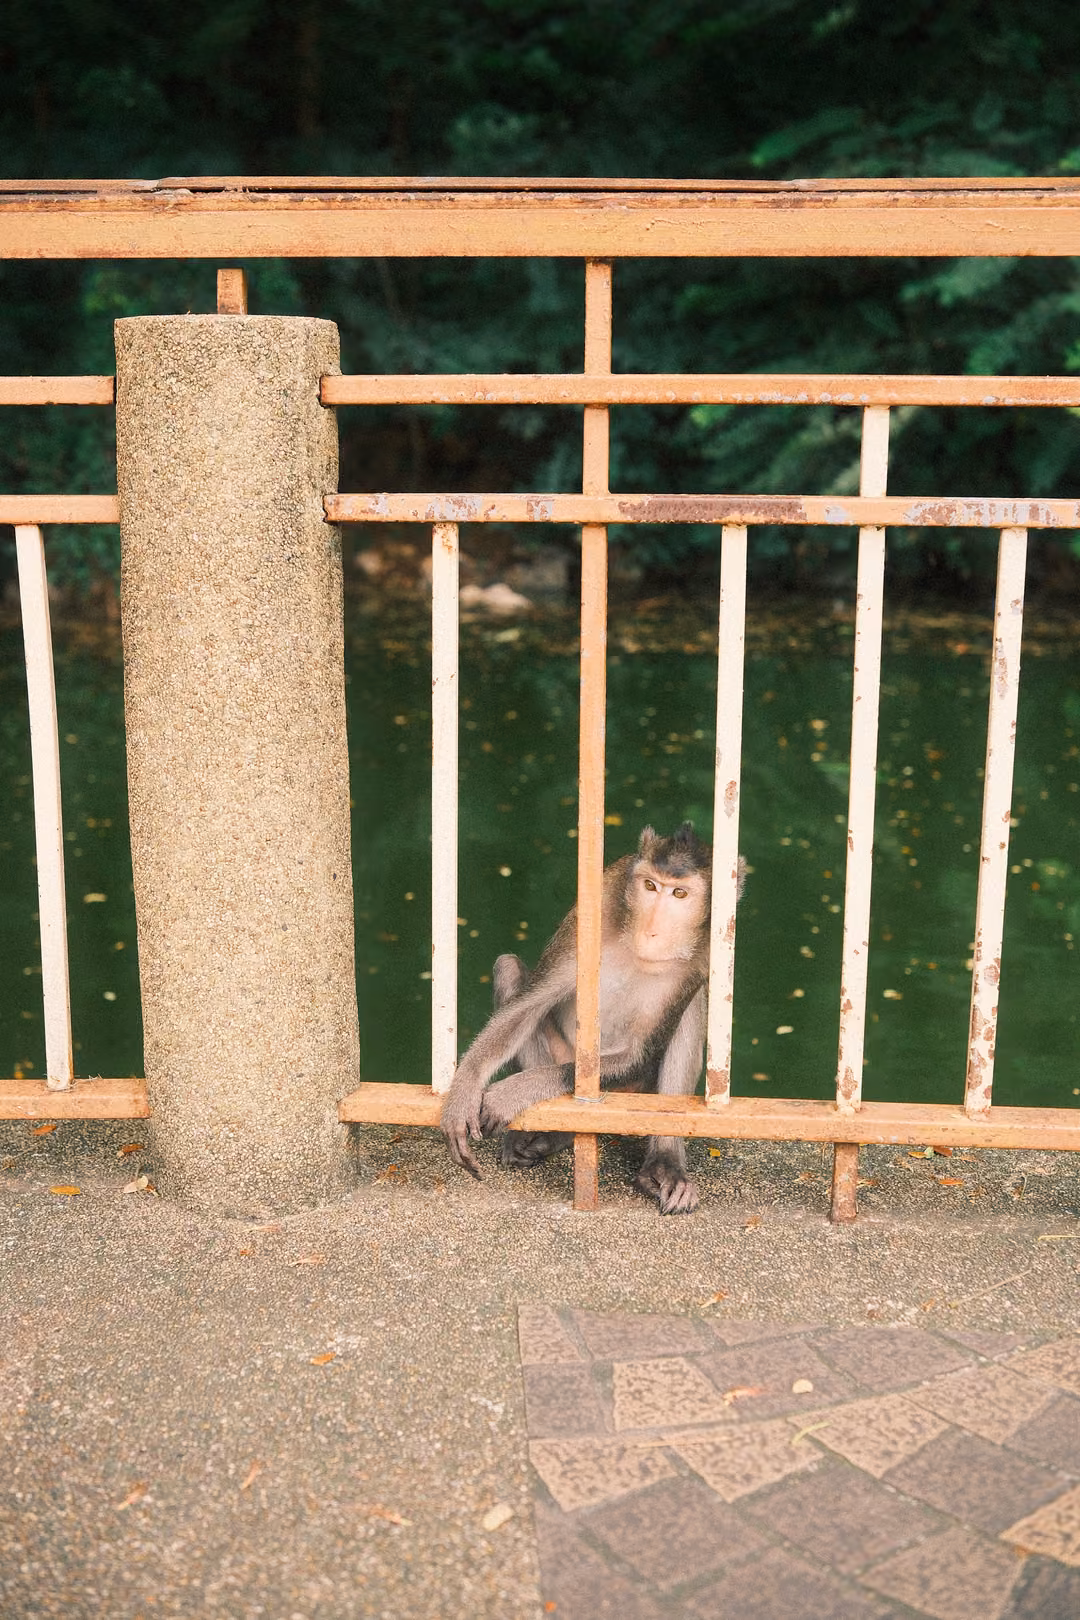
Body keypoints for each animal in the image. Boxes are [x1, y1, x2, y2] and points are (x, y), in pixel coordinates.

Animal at [440, 823, 746, 1214]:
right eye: (650, 886)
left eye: (680, 893)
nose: (651, 930)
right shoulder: (597, 907)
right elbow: (530, 1004)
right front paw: (464, 1092)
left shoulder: (707, 951)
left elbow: (638, 1055)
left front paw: (512, 1092)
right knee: (509, 970)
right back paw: (554, 1134)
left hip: (635, 1092)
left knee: (693, 1006)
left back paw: (664, 1163)